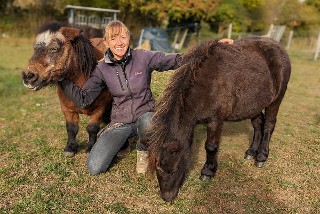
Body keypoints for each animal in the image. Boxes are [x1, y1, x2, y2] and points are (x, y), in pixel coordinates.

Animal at [22, 27, 112, 157]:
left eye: (54, 48)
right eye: (35, 49)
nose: (28, 76)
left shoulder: (99, 108)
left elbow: (92, 128)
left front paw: (90, 147)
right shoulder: (67, 109)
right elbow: (71, 128)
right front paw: (70, 148)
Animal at [149, 36, 292, 201]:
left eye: (174, 169)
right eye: (157, 168)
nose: (167, 197)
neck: (205, 87)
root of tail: (278, 47)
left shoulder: (216, 120)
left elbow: (211, 146)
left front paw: (207, 172)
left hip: (276, 100)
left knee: (268, 125)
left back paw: (261, 156)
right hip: (254, 105)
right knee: (258, 125)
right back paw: (251, 152)